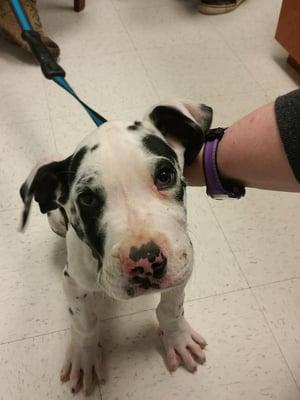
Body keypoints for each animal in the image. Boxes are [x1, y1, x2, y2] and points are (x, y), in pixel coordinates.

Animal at [20, 99, 213, 394]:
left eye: (165, 175)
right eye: (87, 199)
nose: (145, 262)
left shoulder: (181, 264)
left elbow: (172, 306)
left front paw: (177, 337)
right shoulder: (72, 281)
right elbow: (84, 322)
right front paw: (84, 355)